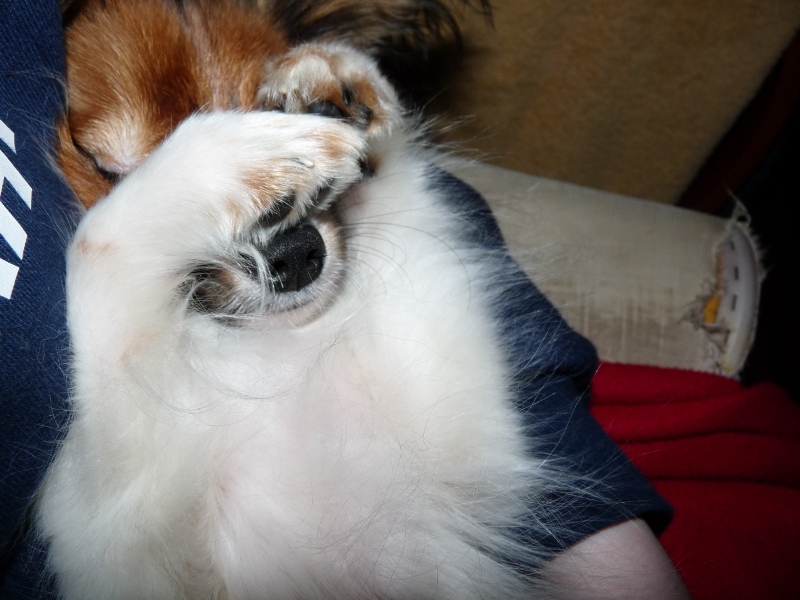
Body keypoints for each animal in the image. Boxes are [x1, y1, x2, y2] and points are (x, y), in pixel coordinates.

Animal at [36, 1, 580, 597]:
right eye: (102, 164)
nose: (298, 255)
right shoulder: (122, 537)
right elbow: (96, 248)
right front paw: (235, 156)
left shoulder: (445, 425)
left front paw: (334, 81)